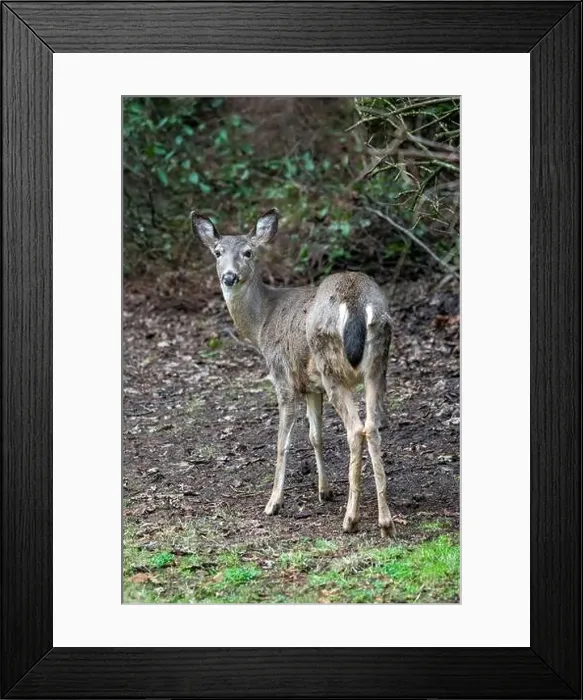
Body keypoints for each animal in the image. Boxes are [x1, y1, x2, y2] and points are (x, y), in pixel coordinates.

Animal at [192, 208, 396, 537]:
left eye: (248, 252)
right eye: (217, 252)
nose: (229, 276)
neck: (261, 323)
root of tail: (355, 302)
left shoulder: (283, 377)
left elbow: (282, 442)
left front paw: (273, 502)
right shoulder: (312, 386)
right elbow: (316, 436)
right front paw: (324, 491)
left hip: (332, 367)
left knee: (355, 430)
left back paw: (350, 519)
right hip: (378, 364)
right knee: (372, 427)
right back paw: (386, 522)